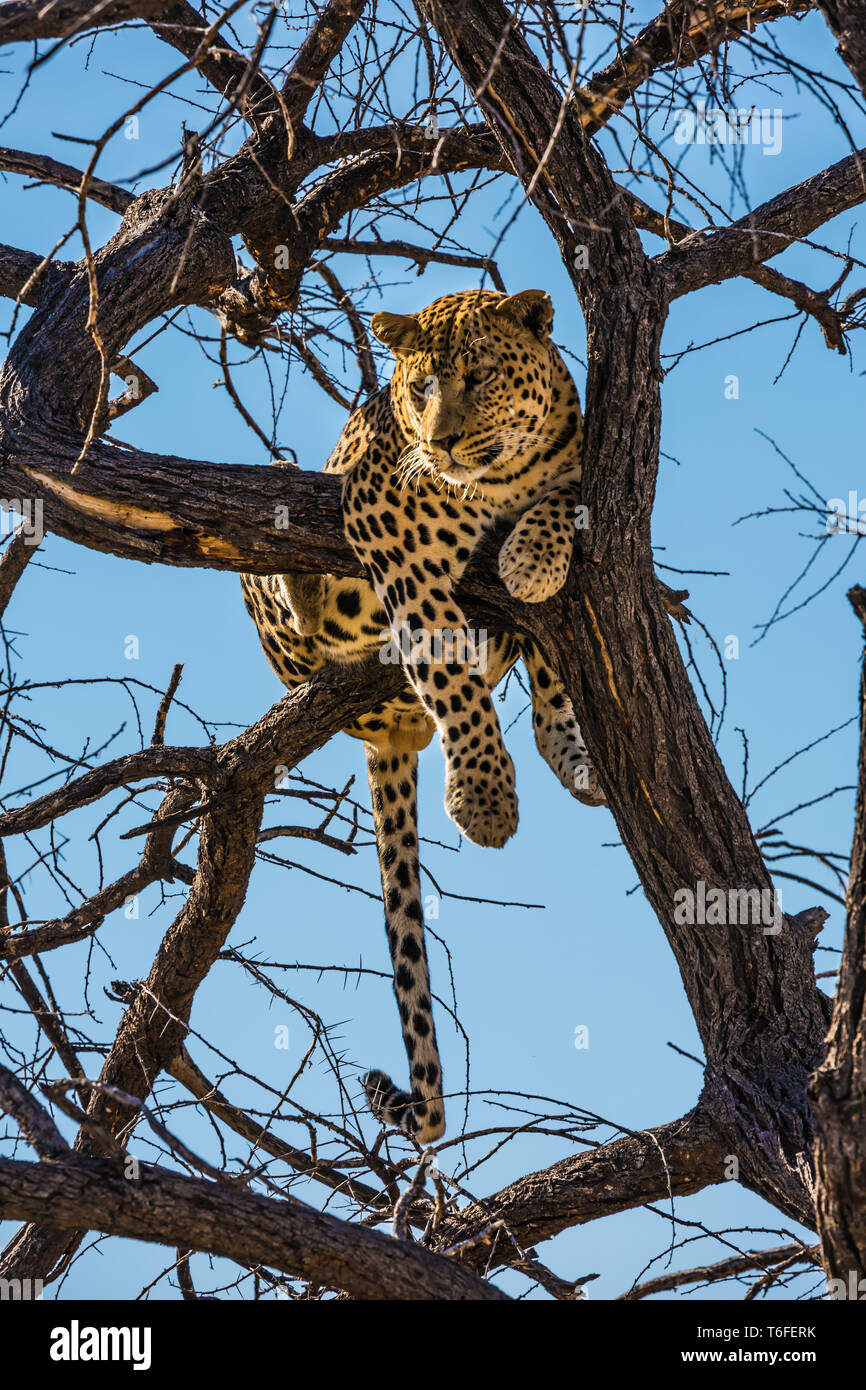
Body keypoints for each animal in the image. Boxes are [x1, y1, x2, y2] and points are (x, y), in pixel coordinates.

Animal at [241, 288, 605, 1147]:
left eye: (478, 376)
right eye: (419, 389)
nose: (440, 442)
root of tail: (388, 736)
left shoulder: (579, 468)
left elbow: (562, 500)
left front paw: (532, 558)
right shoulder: (393, 537)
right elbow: (449, 675)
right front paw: (484, 799)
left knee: (546, 689)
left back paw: (579, 758)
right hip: (302, 624)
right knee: (319, 621)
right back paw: (295, 557)